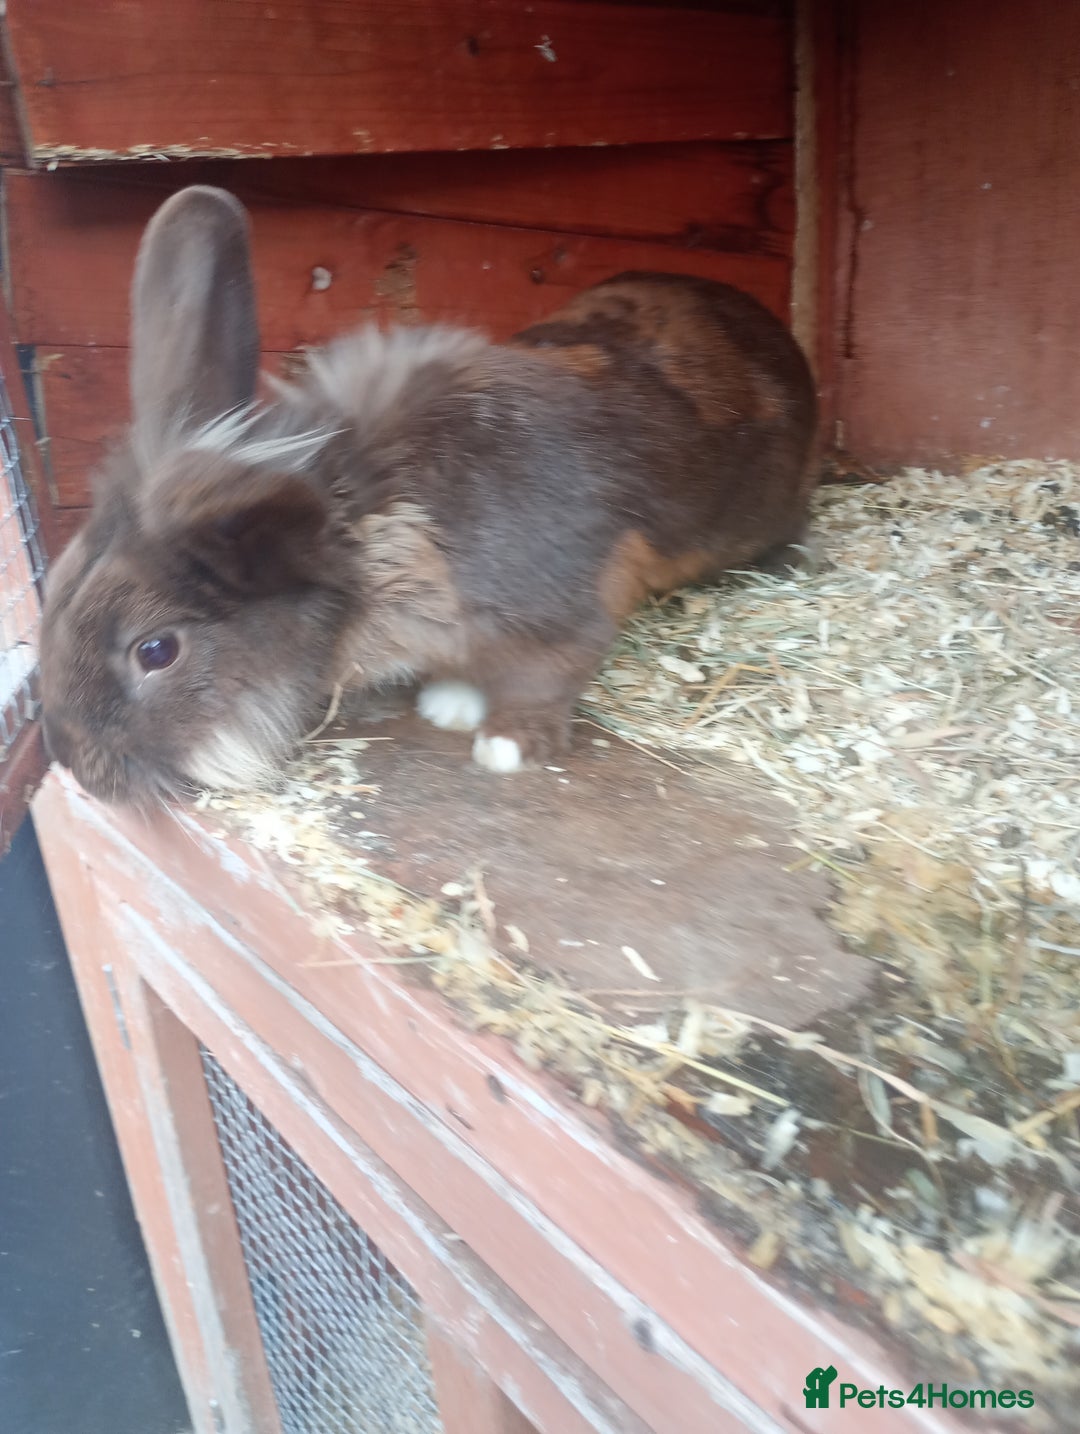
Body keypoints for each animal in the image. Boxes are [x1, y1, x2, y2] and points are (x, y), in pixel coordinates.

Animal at [39, 185, 818, 807]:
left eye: (156, 650)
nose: (75, 764)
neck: (362, 534)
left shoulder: (561, 615)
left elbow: (546, 678)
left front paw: (504, 745)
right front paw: (450, 703)